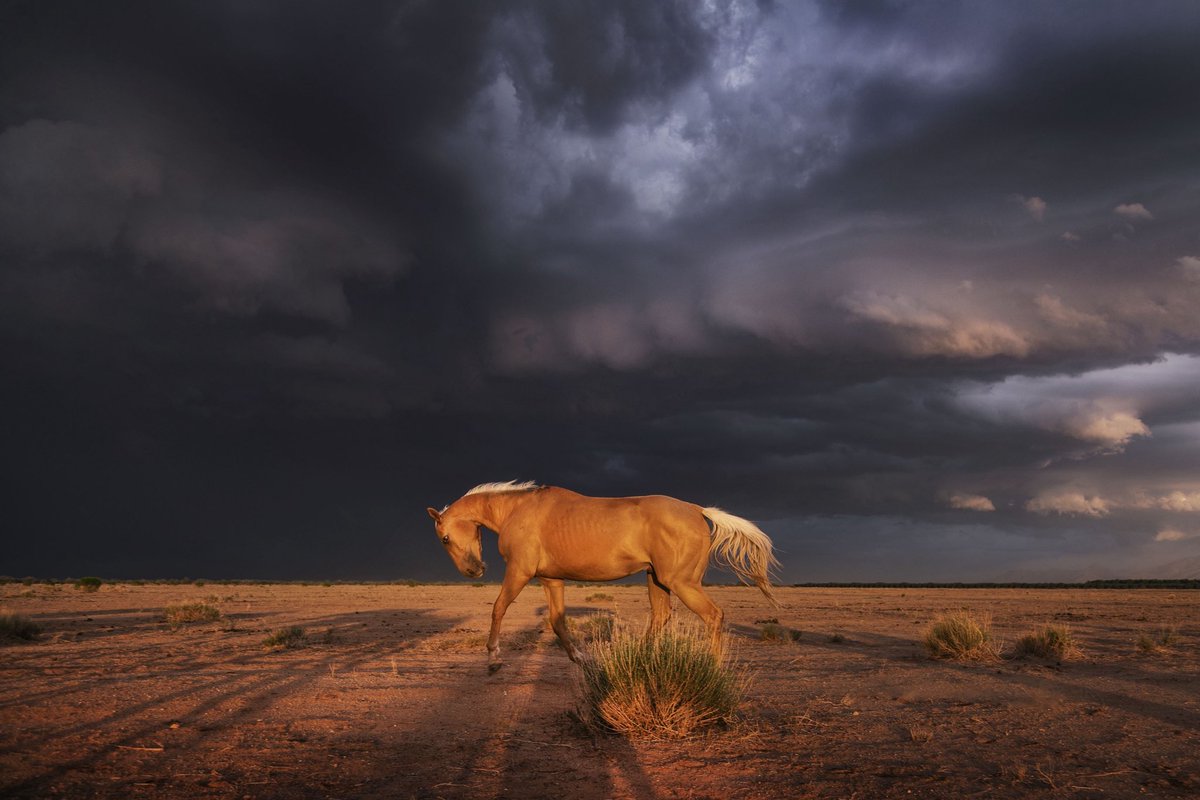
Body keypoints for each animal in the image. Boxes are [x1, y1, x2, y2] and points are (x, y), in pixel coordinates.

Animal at [426, 481, 778, 672]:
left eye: (444, 538)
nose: (474, 571)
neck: (517, 510)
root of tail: (696, 509)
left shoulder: (520, 572)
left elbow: (498, 608)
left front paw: (493, 659)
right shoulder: (551, 579)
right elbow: (558, 621)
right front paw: (581, 658)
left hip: (682, 583)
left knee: (714, 616)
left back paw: (712, 667)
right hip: (657, 580)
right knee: (661, 617)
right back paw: (642, 659)